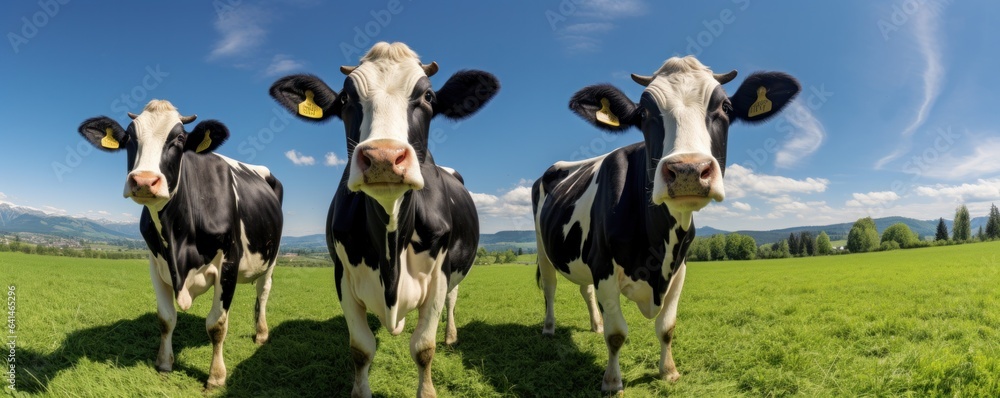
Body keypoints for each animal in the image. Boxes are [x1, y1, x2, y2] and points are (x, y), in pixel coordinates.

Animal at [75, 100, 282, 388]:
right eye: (129, 139)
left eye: (180, 139)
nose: (144, 180)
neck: (179, 243)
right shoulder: (156, 261)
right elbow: (166, 318)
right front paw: (164, 362)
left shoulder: (229, 261)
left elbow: (217, 325)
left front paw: (216, 376)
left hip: (271, 258)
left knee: (263, 292)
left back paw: (261, 334)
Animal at [270, 42, 500, 396]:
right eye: (345, 99)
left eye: (428, 97)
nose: (383, 157)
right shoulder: (342, 276)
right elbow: (361, 348)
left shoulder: (439, 276)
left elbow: (424, 348)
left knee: (452, 300)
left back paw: (450, 335)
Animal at [536, 55, 800, 392]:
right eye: (644, 112)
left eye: (726, 107)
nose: (689, 170)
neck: (655, 247)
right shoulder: (603, 266)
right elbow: (617, 334)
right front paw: (612, 381)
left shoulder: (679, 268)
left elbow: (667, 326)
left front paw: (669, 371)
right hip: (543, 247)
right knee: (550, 286)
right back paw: (549, 328)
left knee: (585, 290)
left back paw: (595, 324)